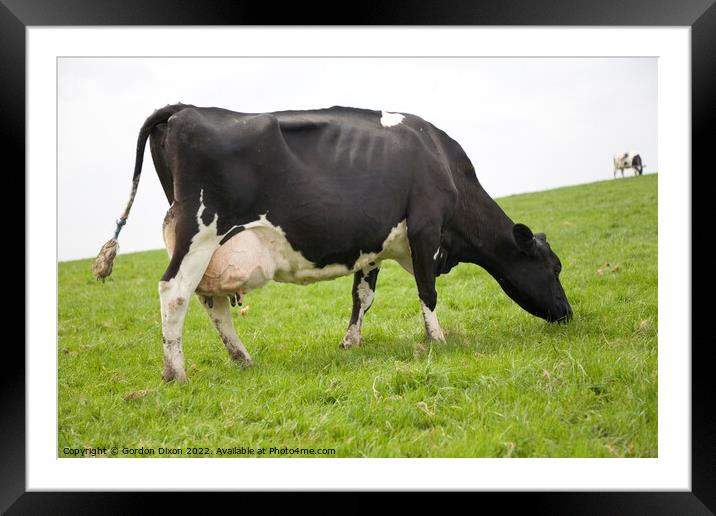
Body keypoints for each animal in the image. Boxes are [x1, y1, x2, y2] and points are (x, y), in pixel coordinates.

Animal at [95, 104, 572, 382]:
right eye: (555, 267)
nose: (568, 313)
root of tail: (185, 109)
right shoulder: (425, 228)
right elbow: (427, 290)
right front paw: (437, 339)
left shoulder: (373, 244)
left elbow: (363, 296)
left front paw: (350, 343)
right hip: (201, 232)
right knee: (174, 292)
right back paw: (175, 371)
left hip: (211, 246)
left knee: (209, 300)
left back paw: (242, 358)